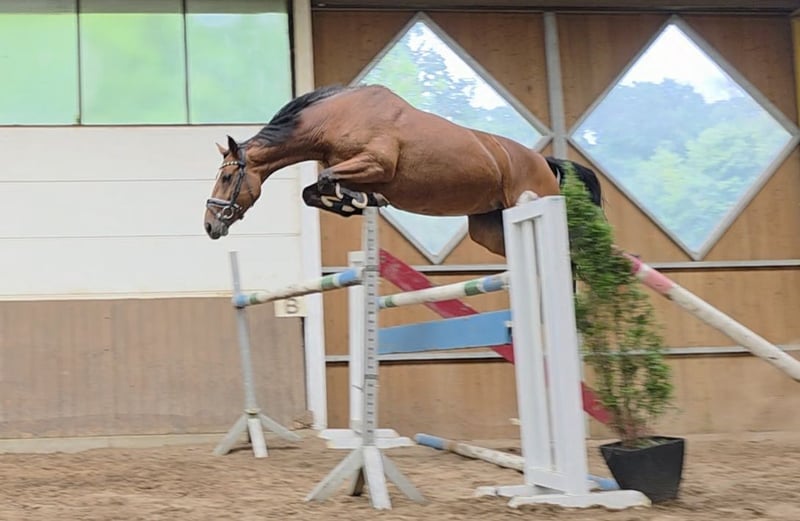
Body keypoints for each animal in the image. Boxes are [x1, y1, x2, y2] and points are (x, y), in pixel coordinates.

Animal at [203, 84, 602, 257]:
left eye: (226, 177)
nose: (209, 226)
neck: (334, 119)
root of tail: (545, 162)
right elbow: (312, 191)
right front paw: (356, 203)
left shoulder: (376, 162)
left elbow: (325, 180)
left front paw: (357, 199)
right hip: (490, 230)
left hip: (535, 204)